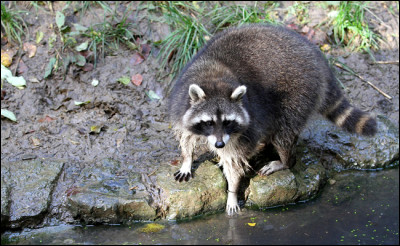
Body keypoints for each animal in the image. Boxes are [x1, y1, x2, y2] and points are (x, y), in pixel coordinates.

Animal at [167, 24, 376, 214]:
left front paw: (232, 191)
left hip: (298, 93)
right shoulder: (181, 102)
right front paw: (187, 159)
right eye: (209, 122)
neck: (214, 78)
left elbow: (234, 159)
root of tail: (318, 59)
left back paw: (284, 160)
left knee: (284, 132)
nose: (219, 144)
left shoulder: (244, 124)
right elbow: (186, 135)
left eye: (227, 122)